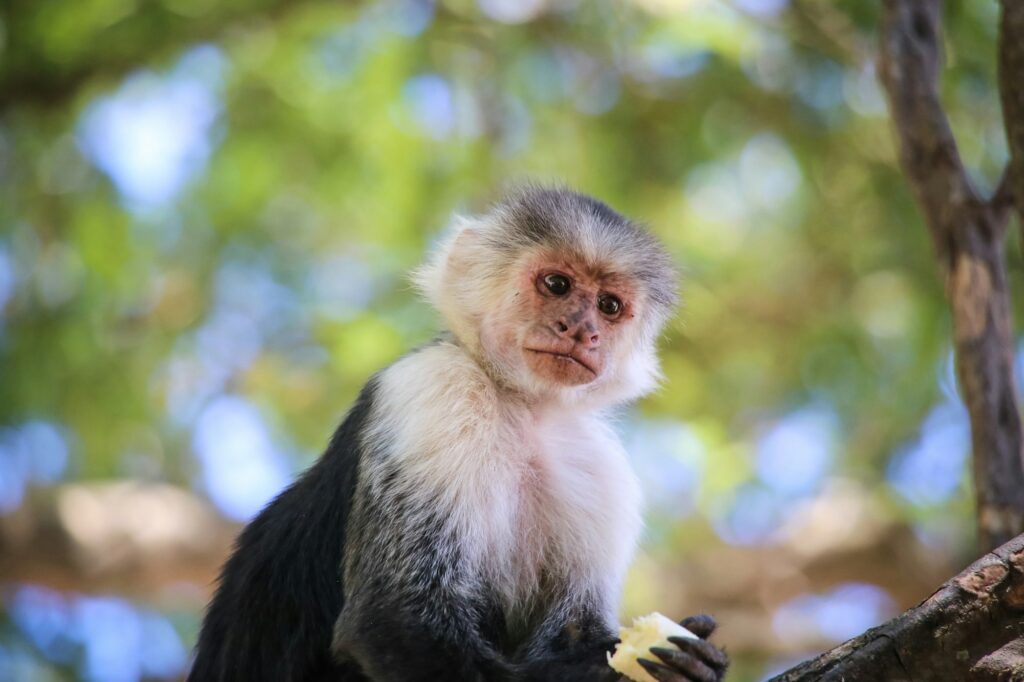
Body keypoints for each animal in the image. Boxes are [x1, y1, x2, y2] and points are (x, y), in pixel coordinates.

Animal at [186, 187, 729, 679]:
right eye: (557, 284)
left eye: (610, 305)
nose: (582, 330)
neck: (522, 407)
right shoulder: (433, 389)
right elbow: (393, 620)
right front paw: (594, 672)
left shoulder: (597, 464)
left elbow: (574, 626)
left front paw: (685, 665)